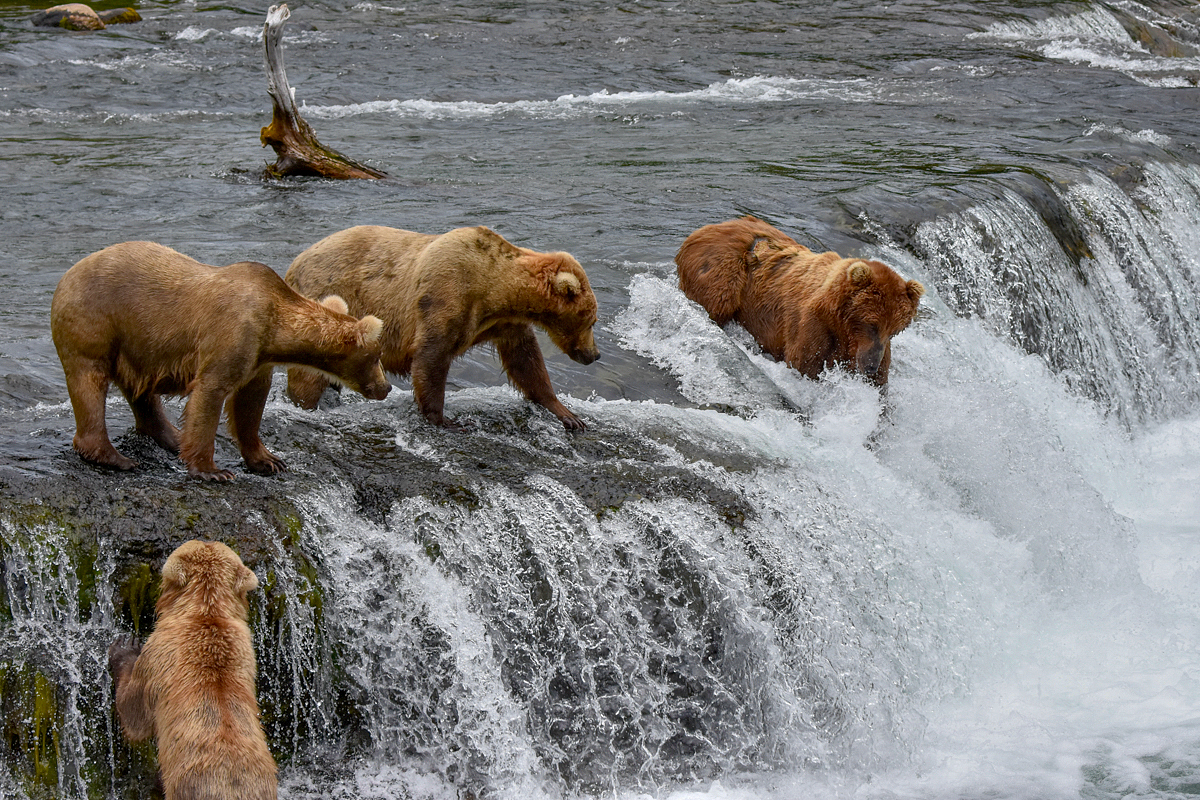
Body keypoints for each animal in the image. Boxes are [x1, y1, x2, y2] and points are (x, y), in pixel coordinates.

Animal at [50, 241, 388, 482]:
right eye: (377, 356)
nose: (384, 389)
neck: (275, 329)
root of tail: (66, 274)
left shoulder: (259, 359)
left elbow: (250, 404)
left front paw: (269, 460)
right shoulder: (232, 334)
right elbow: (211, 393)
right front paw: (212, 470)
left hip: (136, 344)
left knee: (141, 392)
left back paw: (171, 437)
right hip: (95, 319)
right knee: (89, 380)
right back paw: (114, 457)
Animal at [107, 537, 276, 800]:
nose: (206, 537)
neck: (205, 609)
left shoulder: (158, 655)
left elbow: (135, 715)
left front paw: (124, 648)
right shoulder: (245, 648)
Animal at [282, 224, 600, 431]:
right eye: (592, 319)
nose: (594, 354)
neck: (495, 289)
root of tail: (292, 265)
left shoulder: (504, 323)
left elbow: (526, 361)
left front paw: (568, 414)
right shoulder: (445, 294)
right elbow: (430, 357)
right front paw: (444, 419)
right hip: (326, 302)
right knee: (308, 374)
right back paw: (304, 405)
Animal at [676, 215, 926, 383]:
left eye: (895, 330)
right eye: (871, 324)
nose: (871, 366)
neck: (841, 325)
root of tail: (704, 230)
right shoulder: (813, 328)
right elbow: (805, 365)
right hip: (721, 274)